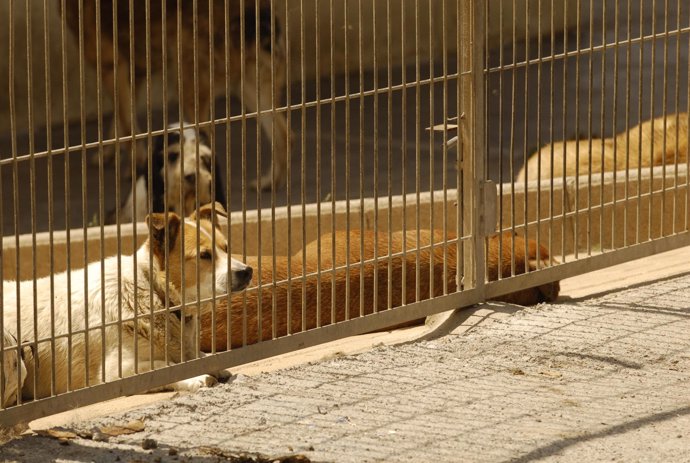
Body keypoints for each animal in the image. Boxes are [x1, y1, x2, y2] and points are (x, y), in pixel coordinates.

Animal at [2, 203, 250, 402]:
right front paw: (196, 377)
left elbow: (198, 356)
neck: (154, 293)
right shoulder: (117, 371)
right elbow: (163, 367)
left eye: (226, 248)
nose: (247, 271)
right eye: (205, 255)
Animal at [59, 0, 292, 190]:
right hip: (249, 88)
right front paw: (107, 154)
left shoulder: (111, 66)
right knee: (284, 133)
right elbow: (122, 122)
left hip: (188, 85)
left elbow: (126, 126)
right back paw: (271, 183)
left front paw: (136, 167)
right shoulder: (135, 71)